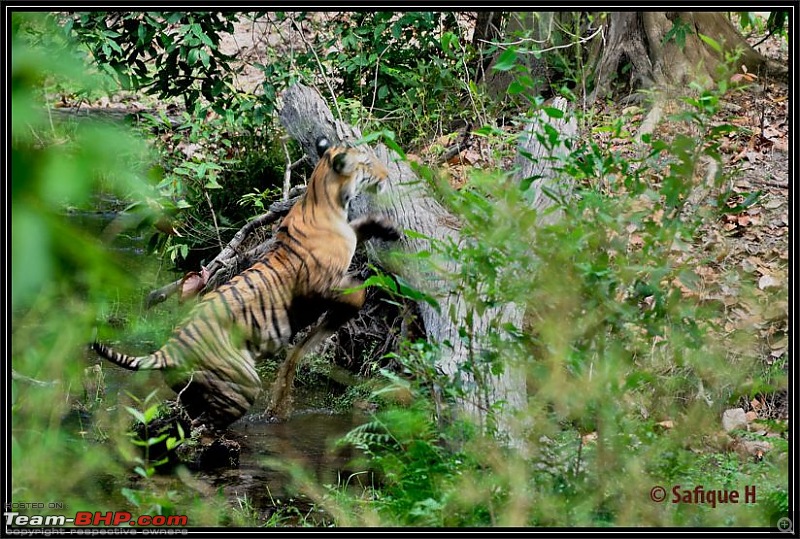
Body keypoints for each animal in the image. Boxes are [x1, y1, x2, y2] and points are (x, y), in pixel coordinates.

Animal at [93, 138, 400, 430]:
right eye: (367, 163)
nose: (387, 175)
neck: (327, 199)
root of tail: (168, 349)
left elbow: (360, 229)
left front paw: (386, 228)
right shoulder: (320, 285)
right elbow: (356, 289)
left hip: (194, 388)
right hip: (242, 384)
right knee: (206, 426)